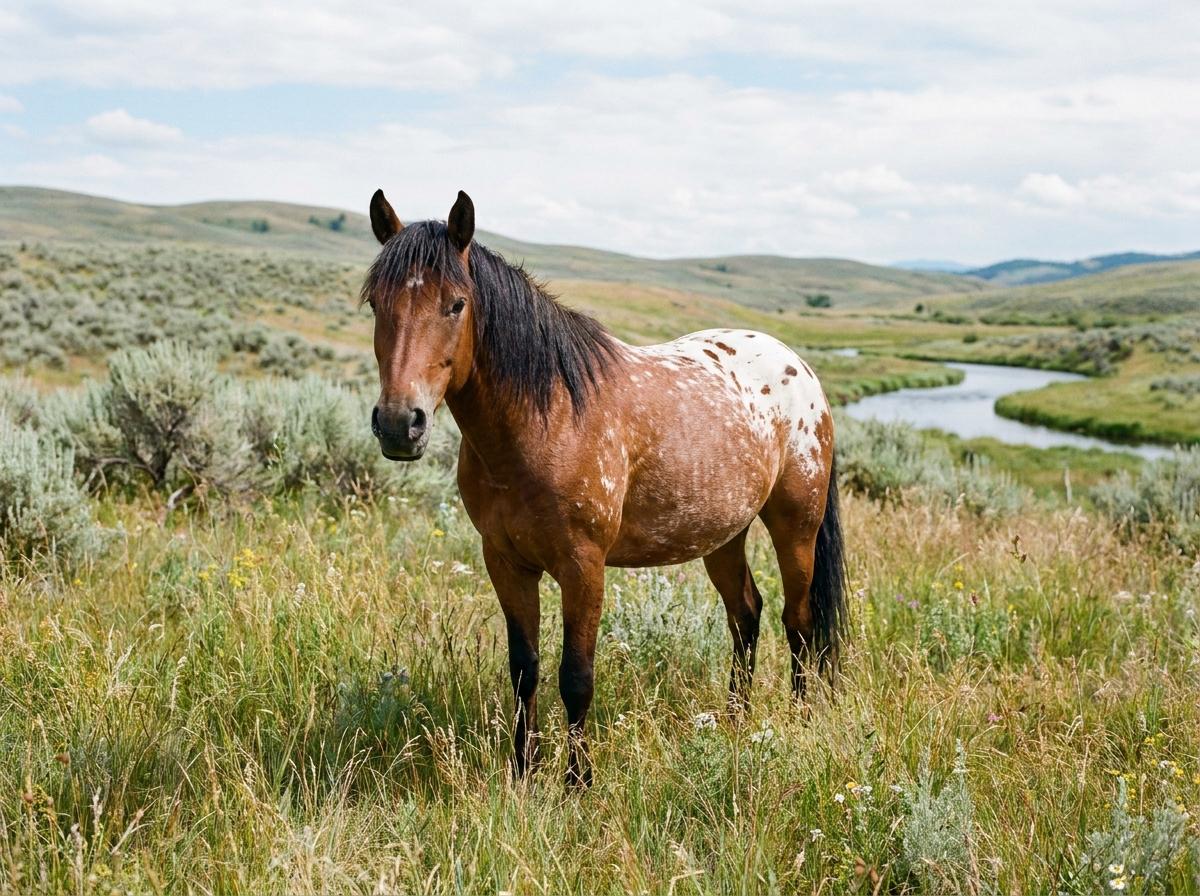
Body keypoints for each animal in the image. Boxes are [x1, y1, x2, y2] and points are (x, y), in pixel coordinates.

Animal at [362, 189, 846, 787]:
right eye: (375, 305)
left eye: (455, 304)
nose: (398, 423)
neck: (545, 419)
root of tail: (799, 366)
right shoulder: (505, 561)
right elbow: (524, 670)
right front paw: (523, 772)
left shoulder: (583, 565)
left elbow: (576, 676)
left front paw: (577, 782)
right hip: (722, 535)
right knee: (746, 615)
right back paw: (738, 720)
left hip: (795, 526)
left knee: (798, 622)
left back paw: (798, 719)